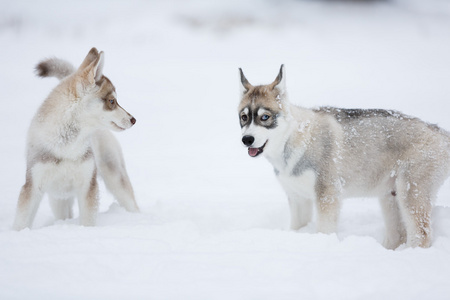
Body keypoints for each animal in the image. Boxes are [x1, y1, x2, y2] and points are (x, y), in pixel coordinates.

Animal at [13, 47, 139, 230]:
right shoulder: (33, 185)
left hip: (116, 178)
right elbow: (21, 222)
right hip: (58, 198)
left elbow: (88, 221)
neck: (67, 146)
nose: (133, 119)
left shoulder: (88, 186)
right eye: (112, 101)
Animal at [237, 65, 448, 248]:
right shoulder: (297, 198)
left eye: (265, 117)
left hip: (411, 192)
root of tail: (440, 132)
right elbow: (297, 227)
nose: (247, 139)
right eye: (244, 117)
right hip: (390, 197)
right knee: (399, 234)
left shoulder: (328, 195)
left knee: (421, 234)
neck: (295, 139)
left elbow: (324, 230)